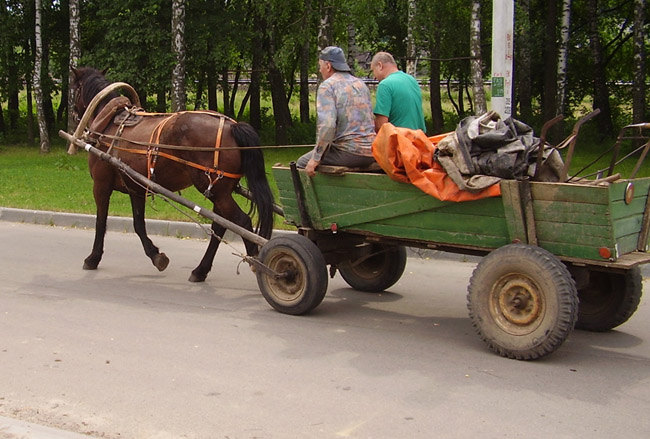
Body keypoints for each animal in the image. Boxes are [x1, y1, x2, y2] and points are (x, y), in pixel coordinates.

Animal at [69, 67, 272, 284]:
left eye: (75, 87)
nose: (73, 113)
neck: (107, 126)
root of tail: (232, 126)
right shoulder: (136, 188)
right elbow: (138, 224)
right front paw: (156, 256)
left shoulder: (101, 185)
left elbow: (101, 222)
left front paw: (93, 258)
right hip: (220, 191)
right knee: (220, 225)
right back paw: (200, 270)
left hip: (215, 190)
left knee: (242, 222)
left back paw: (261, 266)